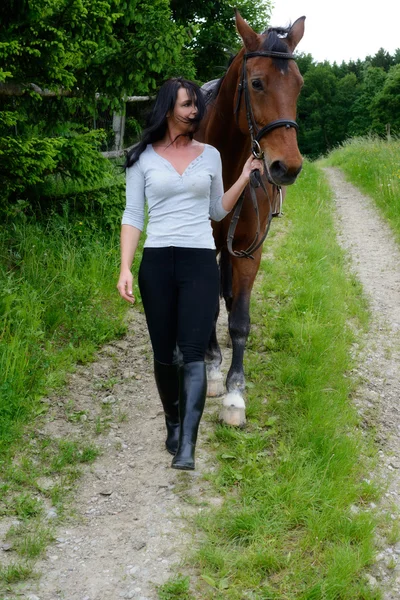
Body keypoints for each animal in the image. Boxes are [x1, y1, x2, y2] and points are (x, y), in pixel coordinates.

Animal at [196, 8, 304, 422]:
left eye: (300, 85)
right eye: (257, 83)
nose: (287, 167)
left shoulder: (249, 249)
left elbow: (239, 319)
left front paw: (234, 394)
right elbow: (209, 306)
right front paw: (212, 370)